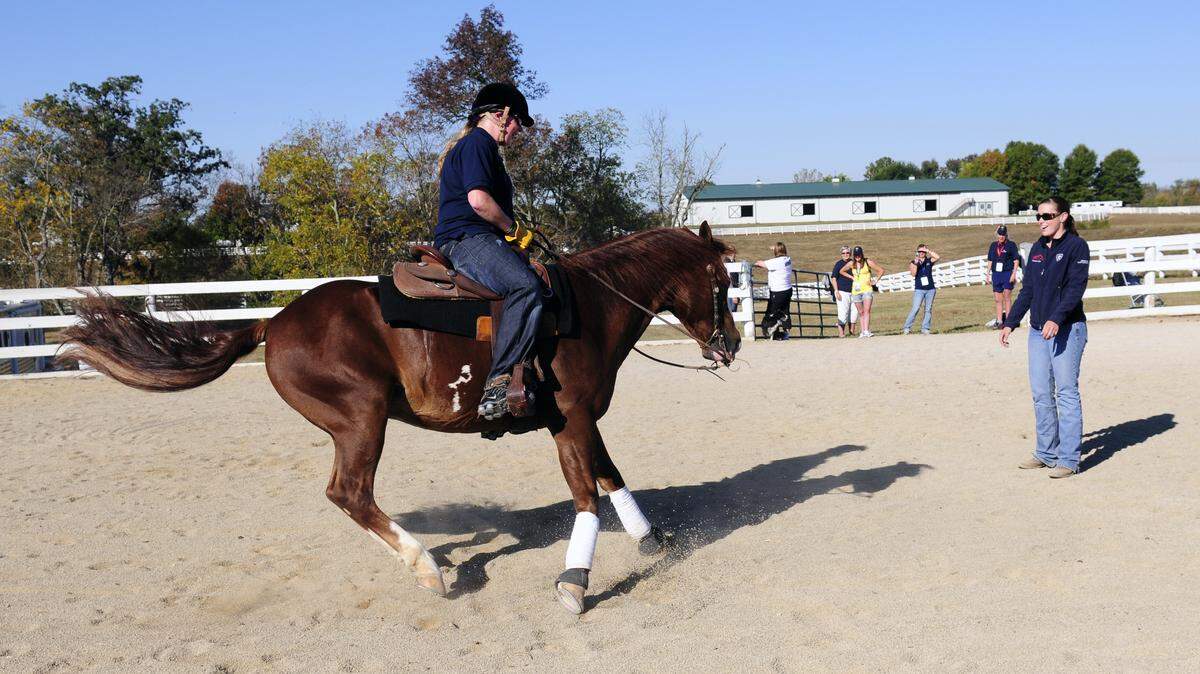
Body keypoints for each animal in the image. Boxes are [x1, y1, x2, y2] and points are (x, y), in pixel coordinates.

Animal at [58, 223, 741, 614]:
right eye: (720, 281)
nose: (732, 342)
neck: (586, 307)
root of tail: (273, 322)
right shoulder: (571, 420)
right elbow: (584, 494)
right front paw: (574, 582)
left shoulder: (578, 419)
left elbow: (610, 474)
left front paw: (651, 536)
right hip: (360, 420)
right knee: (350, 494)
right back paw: (428, 570)